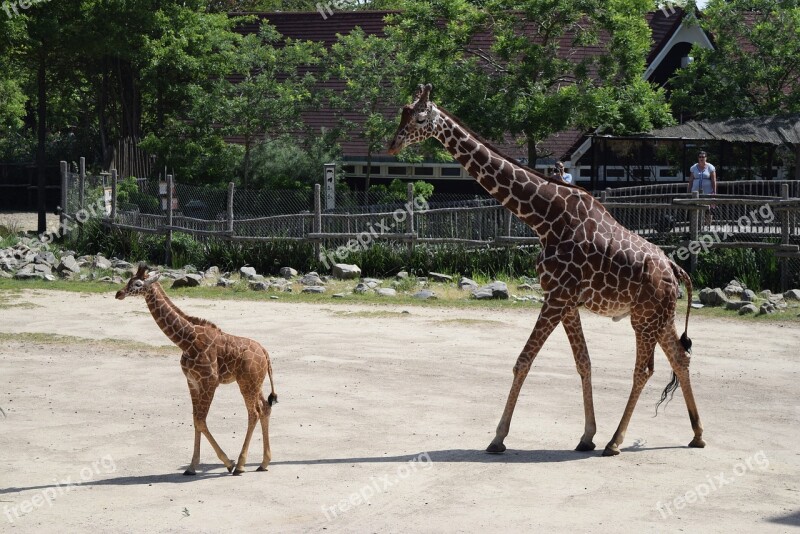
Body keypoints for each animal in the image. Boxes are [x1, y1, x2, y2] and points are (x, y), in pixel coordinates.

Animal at [114, 264, 278, 478]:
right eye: (129, 280)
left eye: (138, 284)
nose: (118, 293)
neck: (186, 340)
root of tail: (265, 353)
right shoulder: (192, 381)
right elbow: (195, 420)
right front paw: (192, 466)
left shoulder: (210, 381)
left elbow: (201, 420)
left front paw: (228, 463)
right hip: (254, 382)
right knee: (265, 408)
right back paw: (264, 463)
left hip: (246, 384)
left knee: (254, 413)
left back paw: (241, 465)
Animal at [390, 85, 708, 456]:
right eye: (402, 112)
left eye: (419, 118)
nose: (392, 144)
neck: (543, 218)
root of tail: (675, 268)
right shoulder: (567, 301)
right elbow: (583, 362)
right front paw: (586, 435)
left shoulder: (556, 296)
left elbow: (523, 360)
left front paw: (498, 438)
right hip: (659, 316)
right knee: (680, 358)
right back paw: (697, 434)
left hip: (643, 318)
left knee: (644, 370)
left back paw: (615, 441)